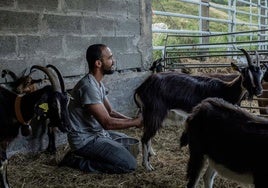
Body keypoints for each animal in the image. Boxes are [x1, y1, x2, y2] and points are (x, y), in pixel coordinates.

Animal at [135, 48, 264, 170]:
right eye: (246, 73)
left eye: (260, 74)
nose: (259, 90)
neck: (226, 90)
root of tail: (141, 88)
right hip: (155, 113)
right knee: (144, 138)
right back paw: (147, 166)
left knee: (147, 135)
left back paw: (151, 155)